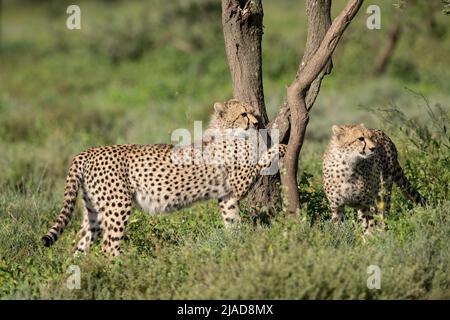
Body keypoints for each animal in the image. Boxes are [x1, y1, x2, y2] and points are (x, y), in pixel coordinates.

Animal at [40, 99, 284, 256]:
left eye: (253, 112)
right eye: (243, 114)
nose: (256, 123)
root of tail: (88, 151)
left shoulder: (227, 196)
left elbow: (232, 220)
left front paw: (237, 244)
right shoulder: (238, 184)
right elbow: (260, 160)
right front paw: (280, 147)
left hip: (95, 210)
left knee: (80, 244)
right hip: (118, 206)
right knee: (109, 247)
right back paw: (121, 271)